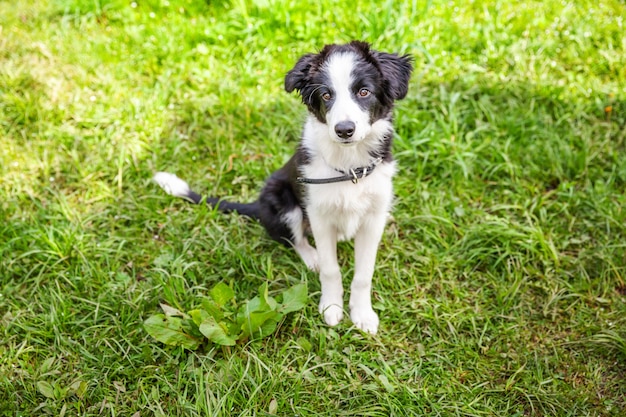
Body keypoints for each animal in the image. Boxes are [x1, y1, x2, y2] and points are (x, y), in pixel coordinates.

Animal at [154, 38, 412, 332]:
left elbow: (363, 274)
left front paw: (362, 314)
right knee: (296, 239)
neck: (349, 168)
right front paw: (331, 307)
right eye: (326, 95)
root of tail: (257, 203)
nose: (344, 130)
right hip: (282, 201)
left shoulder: (374, 218)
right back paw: (312, 257)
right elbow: (331, 269)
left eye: (364, 91)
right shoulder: (318, 213)